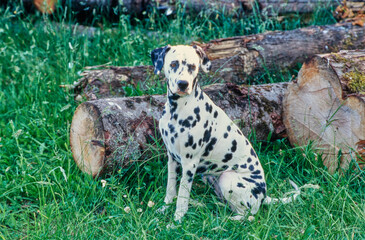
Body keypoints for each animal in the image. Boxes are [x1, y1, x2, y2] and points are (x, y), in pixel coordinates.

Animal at [151, 44, 298, 221]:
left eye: (192, 66)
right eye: (173, 64)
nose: (183, 84)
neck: (177, 109)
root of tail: (264, 196)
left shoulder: (189, 163)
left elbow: (181, 197)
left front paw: (177, 220)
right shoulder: (172, 159)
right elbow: (171, 190)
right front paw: (165, 209)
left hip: (227, 177)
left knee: (248, 215)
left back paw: (223, 221)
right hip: (209, 177)